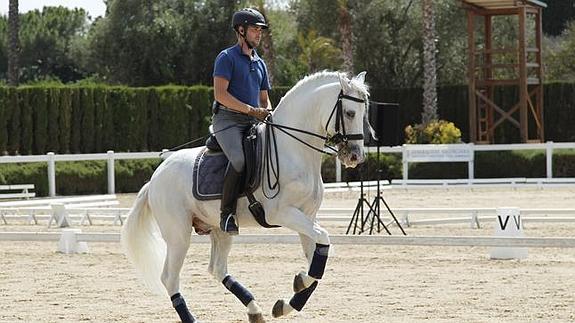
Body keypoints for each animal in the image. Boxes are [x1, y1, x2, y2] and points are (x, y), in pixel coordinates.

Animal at [122, 71, 368, 323]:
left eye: (363, 112)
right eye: (350, 113)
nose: (355, 156)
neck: (294, 150)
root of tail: (155, 177)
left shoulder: (307, 217)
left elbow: (317, 261)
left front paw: (286, 303)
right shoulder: (282, 213)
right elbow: (323, 241)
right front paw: (298, 284)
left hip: (219, 229)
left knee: (217, 268)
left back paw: (254, 309)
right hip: (178, 234)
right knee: (170, 277)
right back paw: (193, 317)